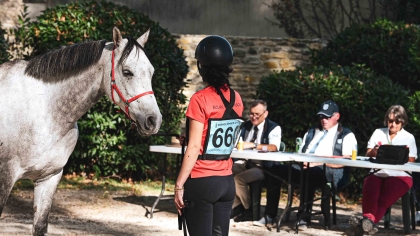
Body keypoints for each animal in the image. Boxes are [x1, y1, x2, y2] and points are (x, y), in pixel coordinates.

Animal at [0, 26, 162, 235]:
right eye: (127, 72)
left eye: (151, 72)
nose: (153, 120)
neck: (44, 109)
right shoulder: (5, 177)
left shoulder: (49, 178)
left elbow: (40, 226)